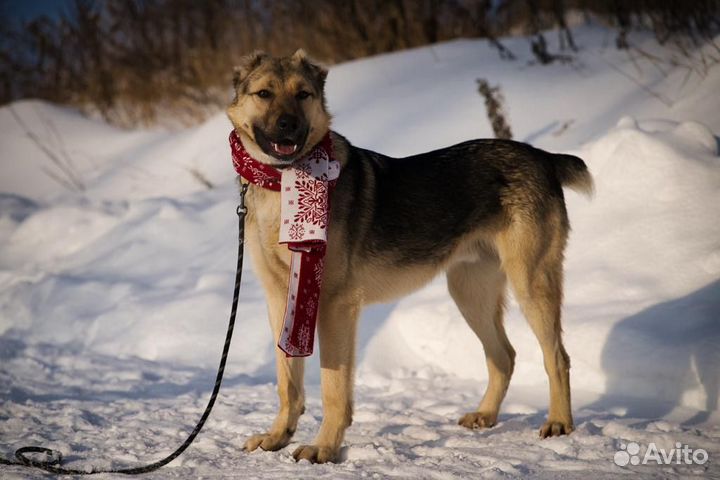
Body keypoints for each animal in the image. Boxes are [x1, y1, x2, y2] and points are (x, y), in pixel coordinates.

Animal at [228, 49, 592, 464]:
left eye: (303, 94)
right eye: (264, 93)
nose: (288, 125)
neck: (281, 182)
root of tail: (542, 156)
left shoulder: (334, 305)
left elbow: (334, 388)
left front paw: (324, 447)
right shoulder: (282, 301)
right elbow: (287, 384)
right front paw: (277, 437)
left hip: (530, 285)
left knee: (557, 357)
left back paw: (559, 422)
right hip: (470, 294)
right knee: (504, 355)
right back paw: (485, 415)